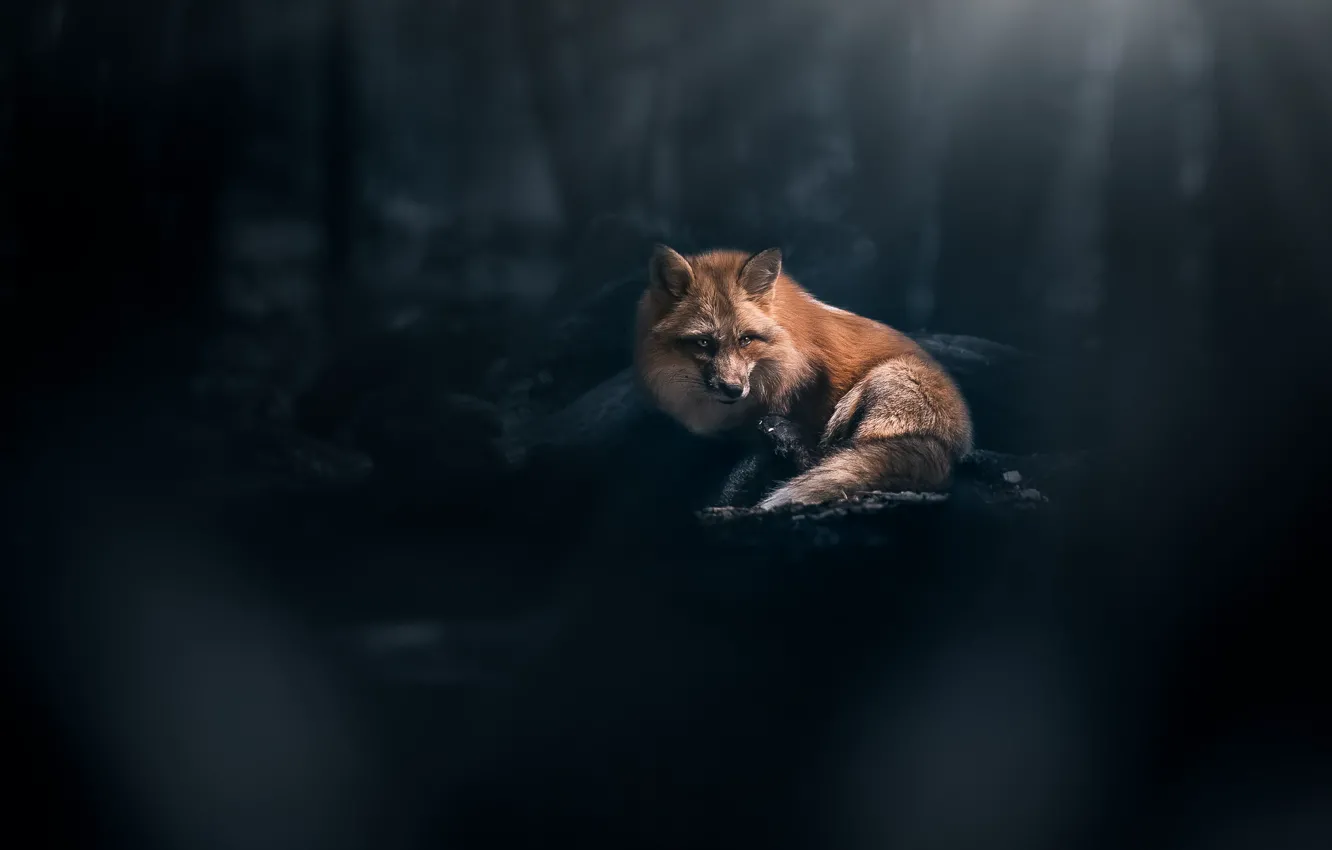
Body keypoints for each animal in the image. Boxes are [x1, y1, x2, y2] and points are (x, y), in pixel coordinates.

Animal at [633, 244, 974, 510]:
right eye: (703, 343)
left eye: (746, 340)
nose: (733, 389)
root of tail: (953, 450)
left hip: (881, 382)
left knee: (830, 458)